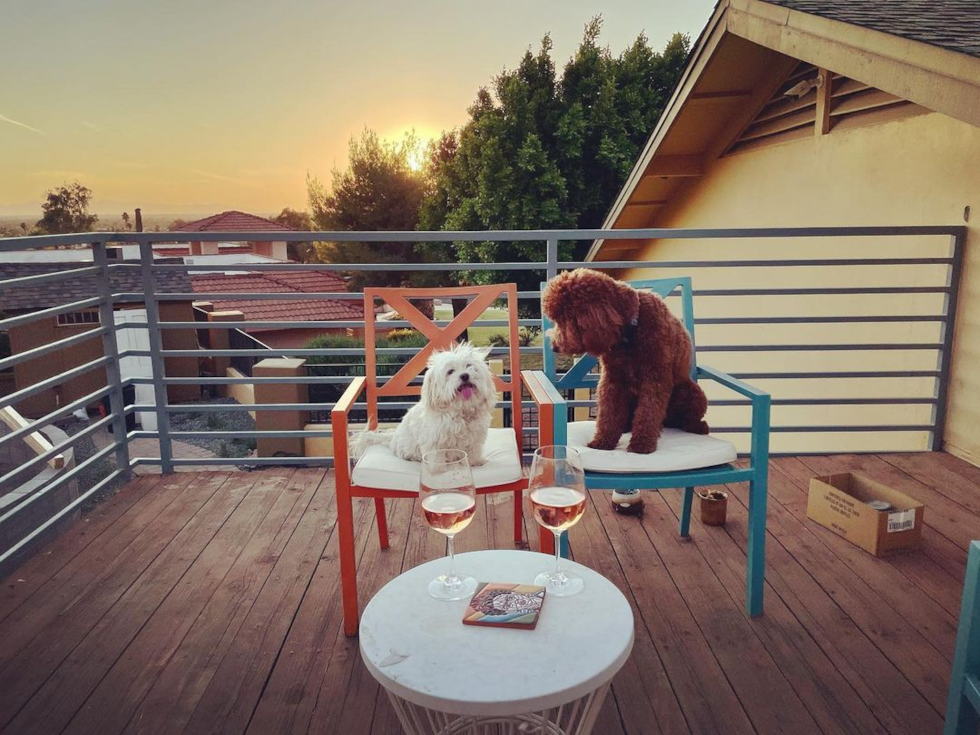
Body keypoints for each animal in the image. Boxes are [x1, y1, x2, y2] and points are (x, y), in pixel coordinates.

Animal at [352, 342, 498, 462]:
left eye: (469, 366)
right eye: (450, 371)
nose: (465, 375)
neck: (461, 411)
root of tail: (393, 436)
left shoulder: (475, 438)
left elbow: (473, 452)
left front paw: (476, 463)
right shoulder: (434, 441)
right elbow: (436, 459)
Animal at [540, 270, 708, 454]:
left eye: (566, 318)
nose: (554, 347)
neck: (631, 332)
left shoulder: (655, 378)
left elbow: (648, 412)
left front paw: (641, 444)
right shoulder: (612, 379)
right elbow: (608, 413)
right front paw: (602, 442)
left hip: (692, 392)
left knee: (684, 419)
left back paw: (697, 427)